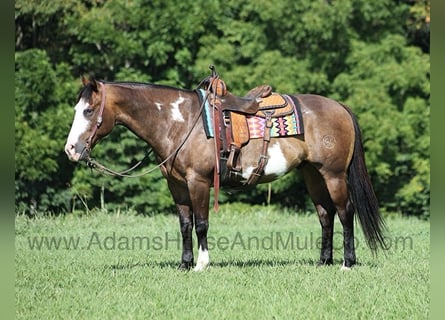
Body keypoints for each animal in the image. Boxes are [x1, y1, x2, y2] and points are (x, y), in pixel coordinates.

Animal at [64, 69, 386, 272]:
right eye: (77, 109)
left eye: (89, 111)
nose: (71, 149)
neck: (180, 122)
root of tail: (340, 107)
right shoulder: (176, 185)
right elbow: (185, 224)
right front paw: (183, 264)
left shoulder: (197, 182)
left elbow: (201, 224)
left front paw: (201, 264)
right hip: (313, 174)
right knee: (325, 215)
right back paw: (323, 262)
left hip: (333, 175)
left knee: (345, 212)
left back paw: (347, 263)